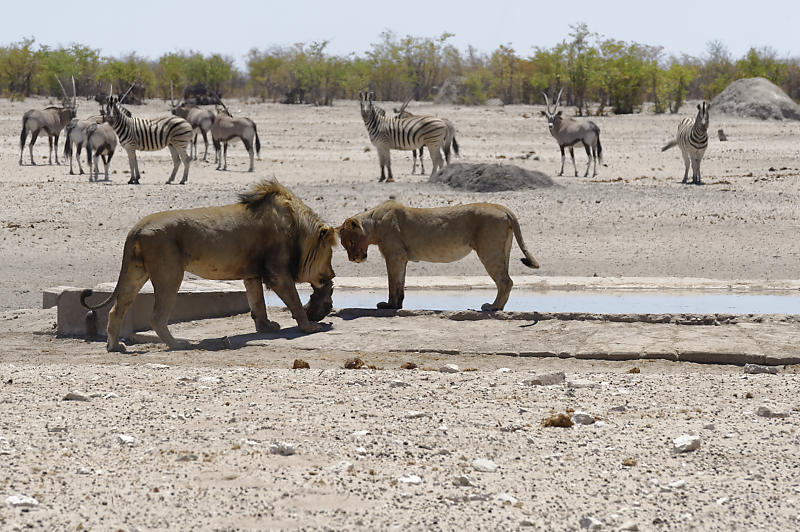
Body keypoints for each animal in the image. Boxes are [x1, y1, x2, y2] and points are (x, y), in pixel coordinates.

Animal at [79, 180, 334, 354]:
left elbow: (257, 302)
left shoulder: (252, 274)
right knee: (157, 316)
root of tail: (138, 226)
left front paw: (266, 327)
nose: (332, 274)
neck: (298, 227)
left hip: (136, 271)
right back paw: (177, 344)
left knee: (117, 309)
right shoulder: (278, 272)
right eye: (331, 254)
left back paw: (115, 346)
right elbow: (294, 300)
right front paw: (309, 326)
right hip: (170, 273)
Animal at [338, 201, 536, 312]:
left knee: (505, 281)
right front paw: (397, 306)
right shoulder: (401, 258)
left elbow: (392, 283)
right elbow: (400, 283)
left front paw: (389, 306)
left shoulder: (394, 255)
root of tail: (501, 207)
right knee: (506, 280)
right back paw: (499, 307)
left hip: (489, 249)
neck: (373, 224)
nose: (352, 259)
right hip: (503, 249)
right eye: (344, 244)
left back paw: (492, 307)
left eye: (351, 242)